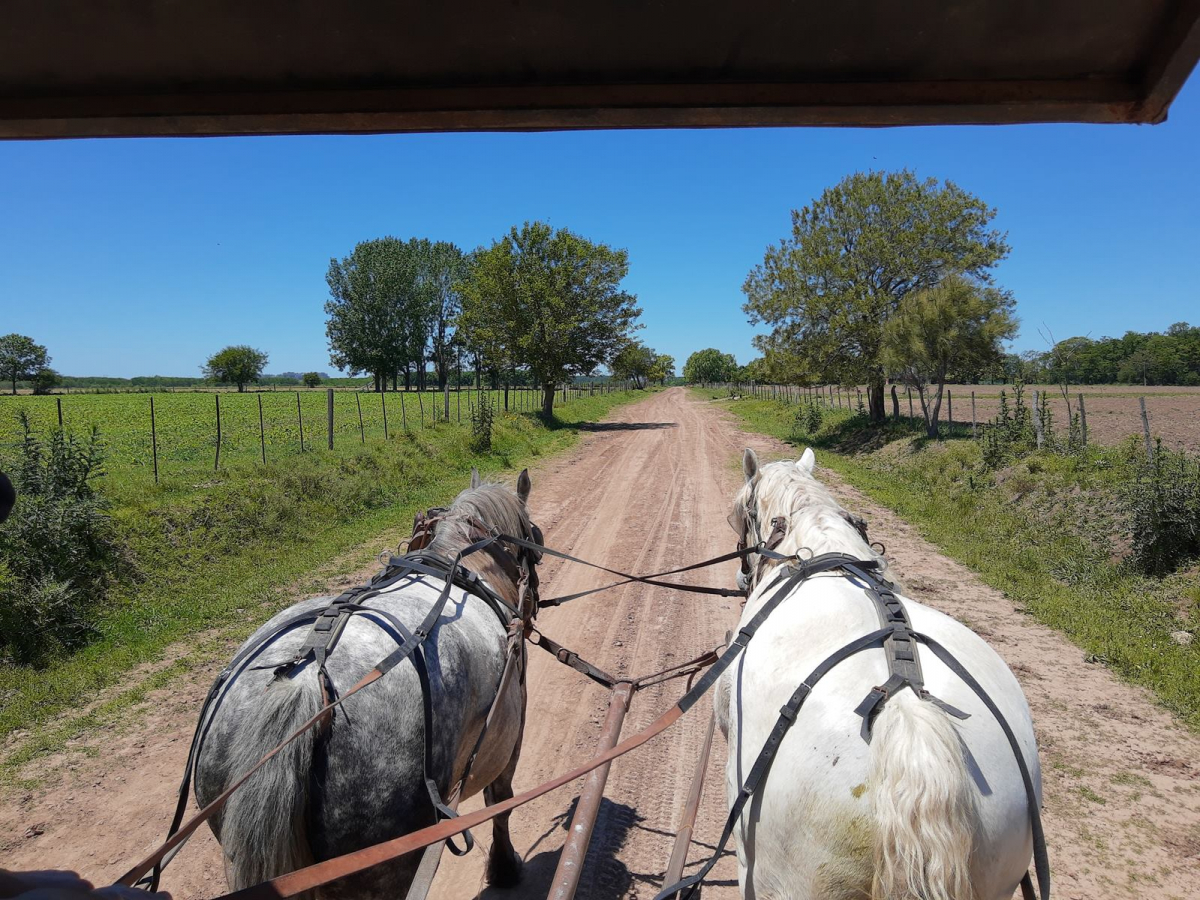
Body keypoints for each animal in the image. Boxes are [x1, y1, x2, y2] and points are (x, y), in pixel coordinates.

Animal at [194, 475, 537, 897]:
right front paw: (504, 868)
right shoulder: (511, 727)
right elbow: (500, 800)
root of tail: (303, 681)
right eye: (533, 537)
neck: (462, 562)